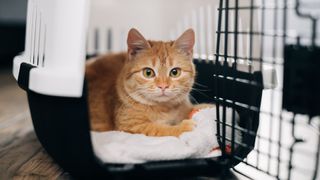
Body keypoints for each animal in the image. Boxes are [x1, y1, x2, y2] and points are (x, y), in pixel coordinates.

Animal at [11, 0, 318, 179]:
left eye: (174, 72)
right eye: (148, 73)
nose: (162, 86)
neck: (165, 108)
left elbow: (193, 108)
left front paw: (205, 108)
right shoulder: (132, 127)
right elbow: (162, 130)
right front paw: (183, 127)